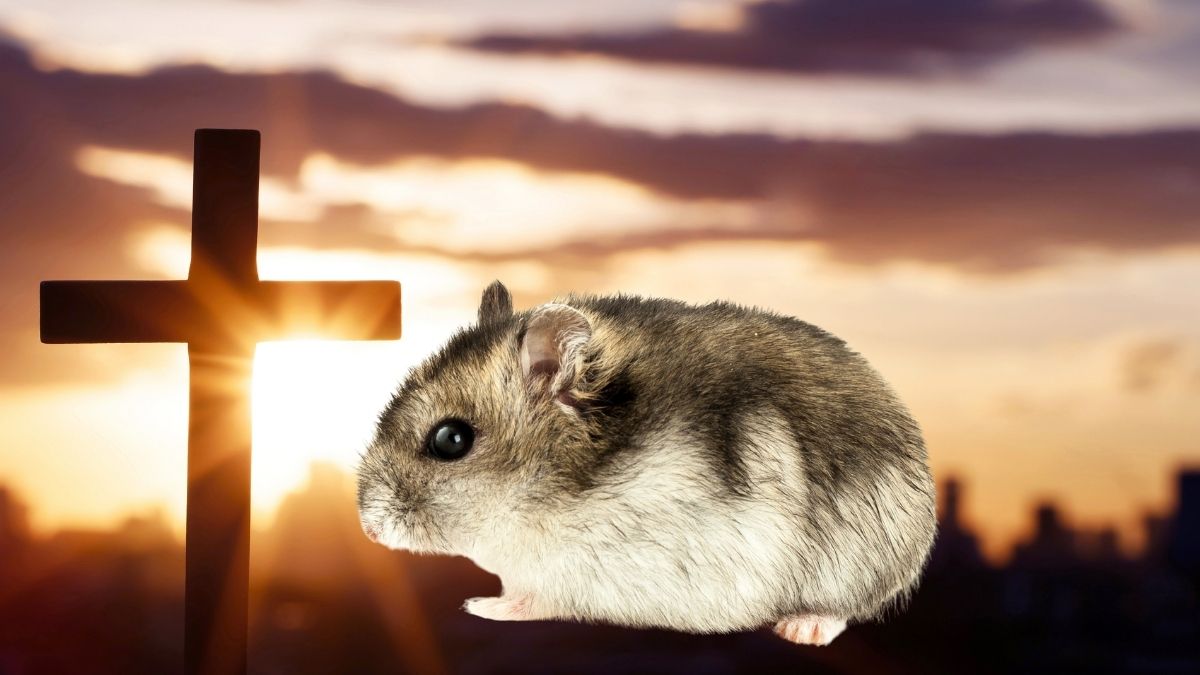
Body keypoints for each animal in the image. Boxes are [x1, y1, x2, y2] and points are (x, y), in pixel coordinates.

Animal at [357, 281, 936, 646]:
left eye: (450, 439)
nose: (369, 528)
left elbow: (539, 598)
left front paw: (478, 606)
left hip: (858, 563)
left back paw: (802, 629)